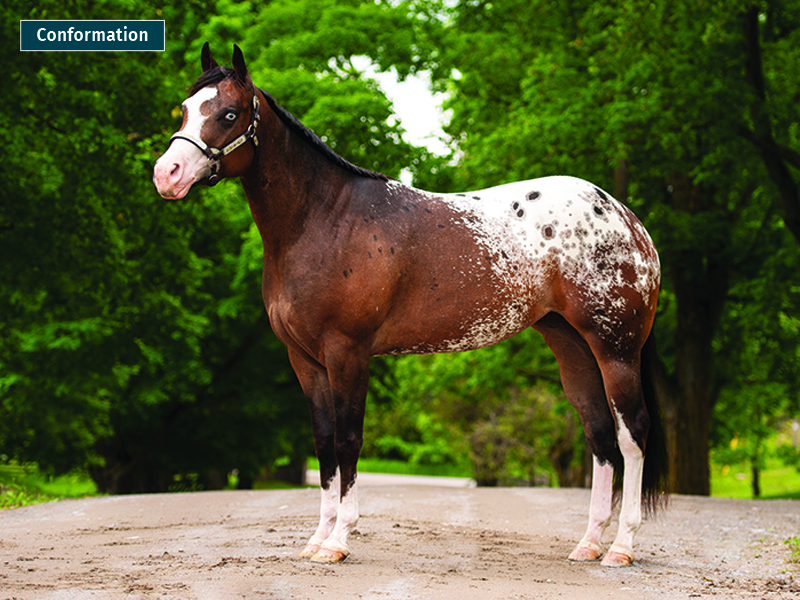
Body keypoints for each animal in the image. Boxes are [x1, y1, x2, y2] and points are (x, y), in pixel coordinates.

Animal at [153, 44, 667, 567]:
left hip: (616, 348)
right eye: (185, 108)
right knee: (600, 436)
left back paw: (621, 547)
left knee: (632, 433)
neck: (324, 220)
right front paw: (317, 539)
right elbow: (323, 445)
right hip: (572, 346)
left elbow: (348, 441)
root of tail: (627, 219)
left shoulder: (347, 352)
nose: (166, 174)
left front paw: (339, 541)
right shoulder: (305, 360)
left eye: (228, 113)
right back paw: (589, 543)